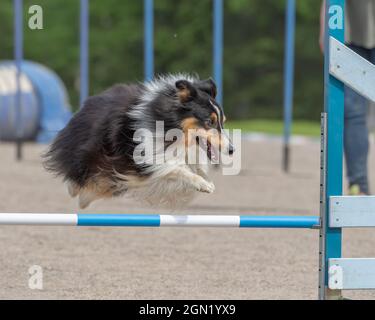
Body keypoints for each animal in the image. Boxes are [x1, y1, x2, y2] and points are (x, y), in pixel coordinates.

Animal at [44, 75, 235, 210]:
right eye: (209, 122)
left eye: (223, 121)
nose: (232, 149)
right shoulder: (142, 156)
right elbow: (174, 167)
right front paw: (203, 184)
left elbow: (193, 166)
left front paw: (206, 180)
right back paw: (77, 191)